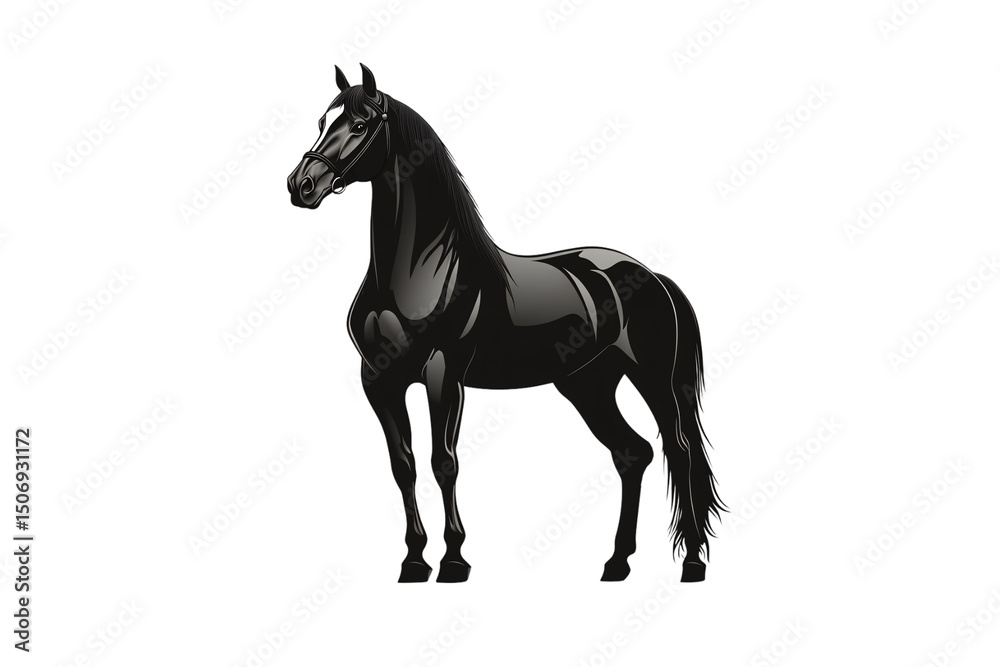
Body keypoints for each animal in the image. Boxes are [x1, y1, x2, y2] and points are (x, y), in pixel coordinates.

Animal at [287, 64, 723, 583]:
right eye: (322, 122)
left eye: (359, 124)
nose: (301, 185)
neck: (418, 271)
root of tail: (652, 277)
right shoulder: (379, 379)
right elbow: (403, 466)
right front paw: (413, 560)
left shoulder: (444, 373)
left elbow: (443, 462)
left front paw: (454, 560)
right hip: (588, 384)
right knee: (632, 454)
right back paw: (617, 562)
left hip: (652, 378)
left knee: (679, 451)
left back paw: (692, 562)